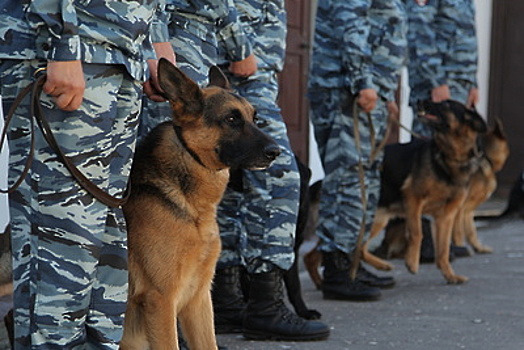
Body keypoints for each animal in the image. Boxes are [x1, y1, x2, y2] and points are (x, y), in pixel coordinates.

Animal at [120, 58, 280, 348]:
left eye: (254, 118)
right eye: (231, 119)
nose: (276, 152)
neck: (192, 207)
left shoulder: (199, 299)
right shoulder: (160, 301)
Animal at [360, 99, 488, 284]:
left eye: (446, 104)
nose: (419, 102)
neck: (449, 157)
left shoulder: (446, 217)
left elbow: (443, 249)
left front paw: (450, 275)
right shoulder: (414, 199)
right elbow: (417, 233)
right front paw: (412, 262)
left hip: (379, 219)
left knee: (360, 249)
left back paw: (382, 266)